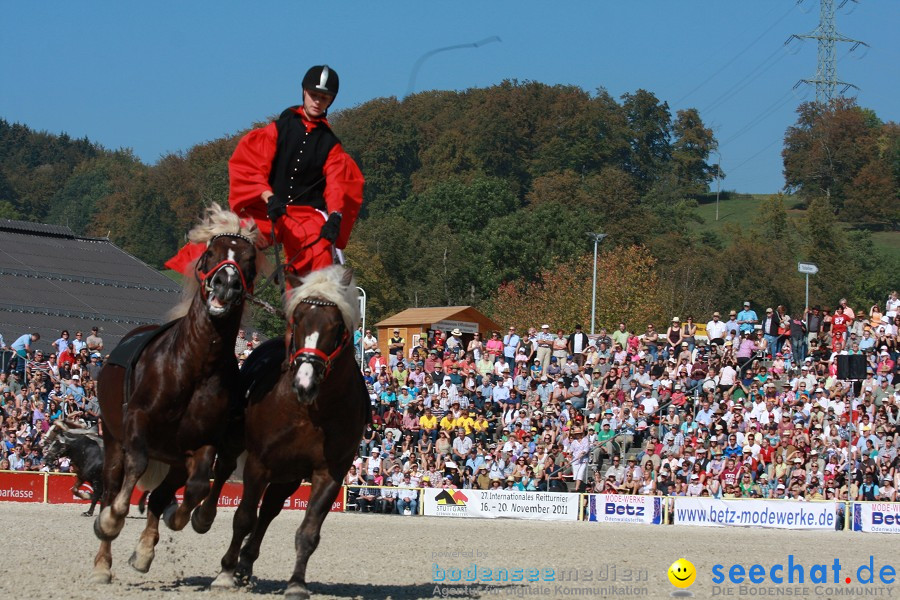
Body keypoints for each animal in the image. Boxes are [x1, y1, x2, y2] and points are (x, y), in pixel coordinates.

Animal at [91, 204, 260, 584]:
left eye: (249, 259)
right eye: (211, 253)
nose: (226, 284)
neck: (193, 366)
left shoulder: (202, 444)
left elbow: (195, 489)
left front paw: (176, 521)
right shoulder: (136, 423)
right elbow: (134, 469)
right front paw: (112, 519)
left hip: (174, 460)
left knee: (161, 495)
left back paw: (144, 550)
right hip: (113, 438)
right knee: (111, 486)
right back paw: (102, 562)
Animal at [208, 266, 370, 600]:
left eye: (336, 326)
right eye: (297, 321)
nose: (305, 382)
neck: (309, 411)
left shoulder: (329, 474)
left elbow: (308, 532)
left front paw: (296, 583)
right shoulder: (258, 464)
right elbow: (243, 517)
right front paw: (225, 571)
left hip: (290, 475)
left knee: (270, 508)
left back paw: (247, 563)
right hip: (236, 447)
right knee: (223, 473)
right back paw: (204, 518)